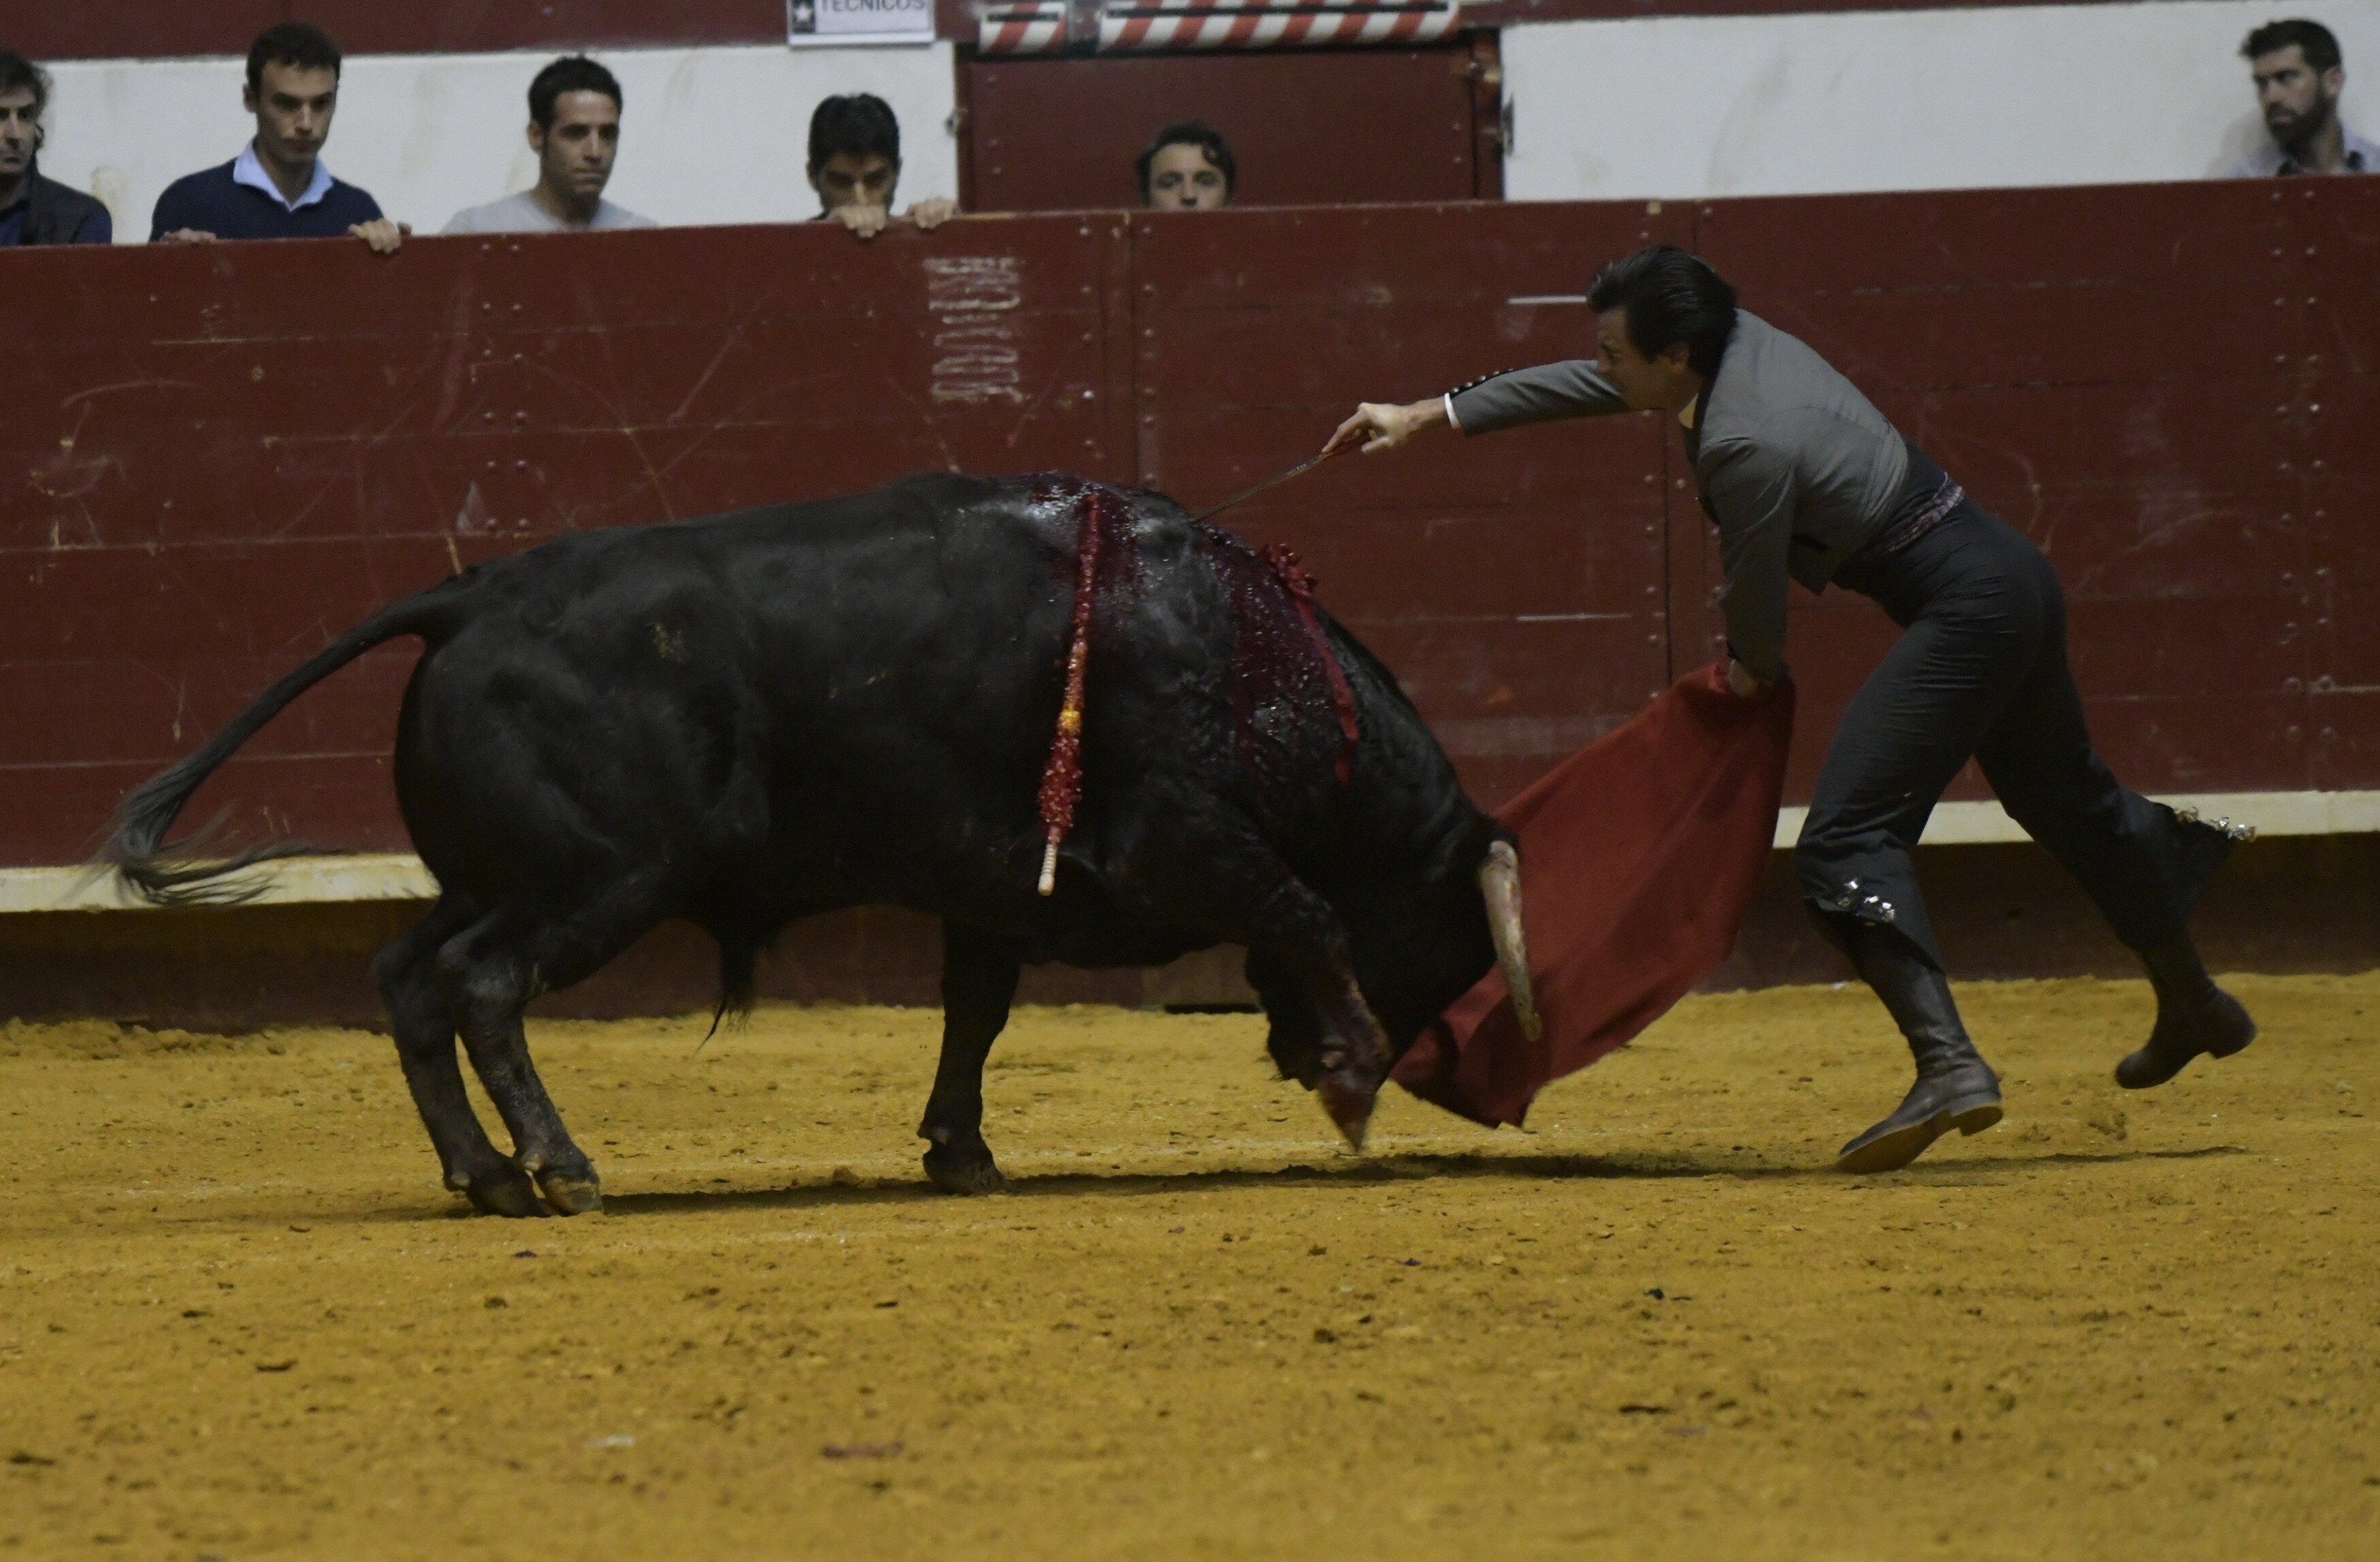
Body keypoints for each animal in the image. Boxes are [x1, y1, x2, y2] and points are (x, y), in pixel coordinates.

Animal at [102, 469, 1533, 1214]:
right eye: (1452, 940)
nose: (1482, 1084)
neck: (1248, 659)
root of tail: (467, 597)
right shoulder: (1178, 842)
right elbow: (1304, 909)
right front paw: (1354, 1076)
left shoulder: (994, 888)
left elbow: (975, 1011)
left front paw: (962, 1152)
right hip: (599, 880)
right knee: (484, 984)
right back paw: (561, 1168)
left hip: (496, 876)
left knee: (408, 977)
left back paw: (486, 1173)